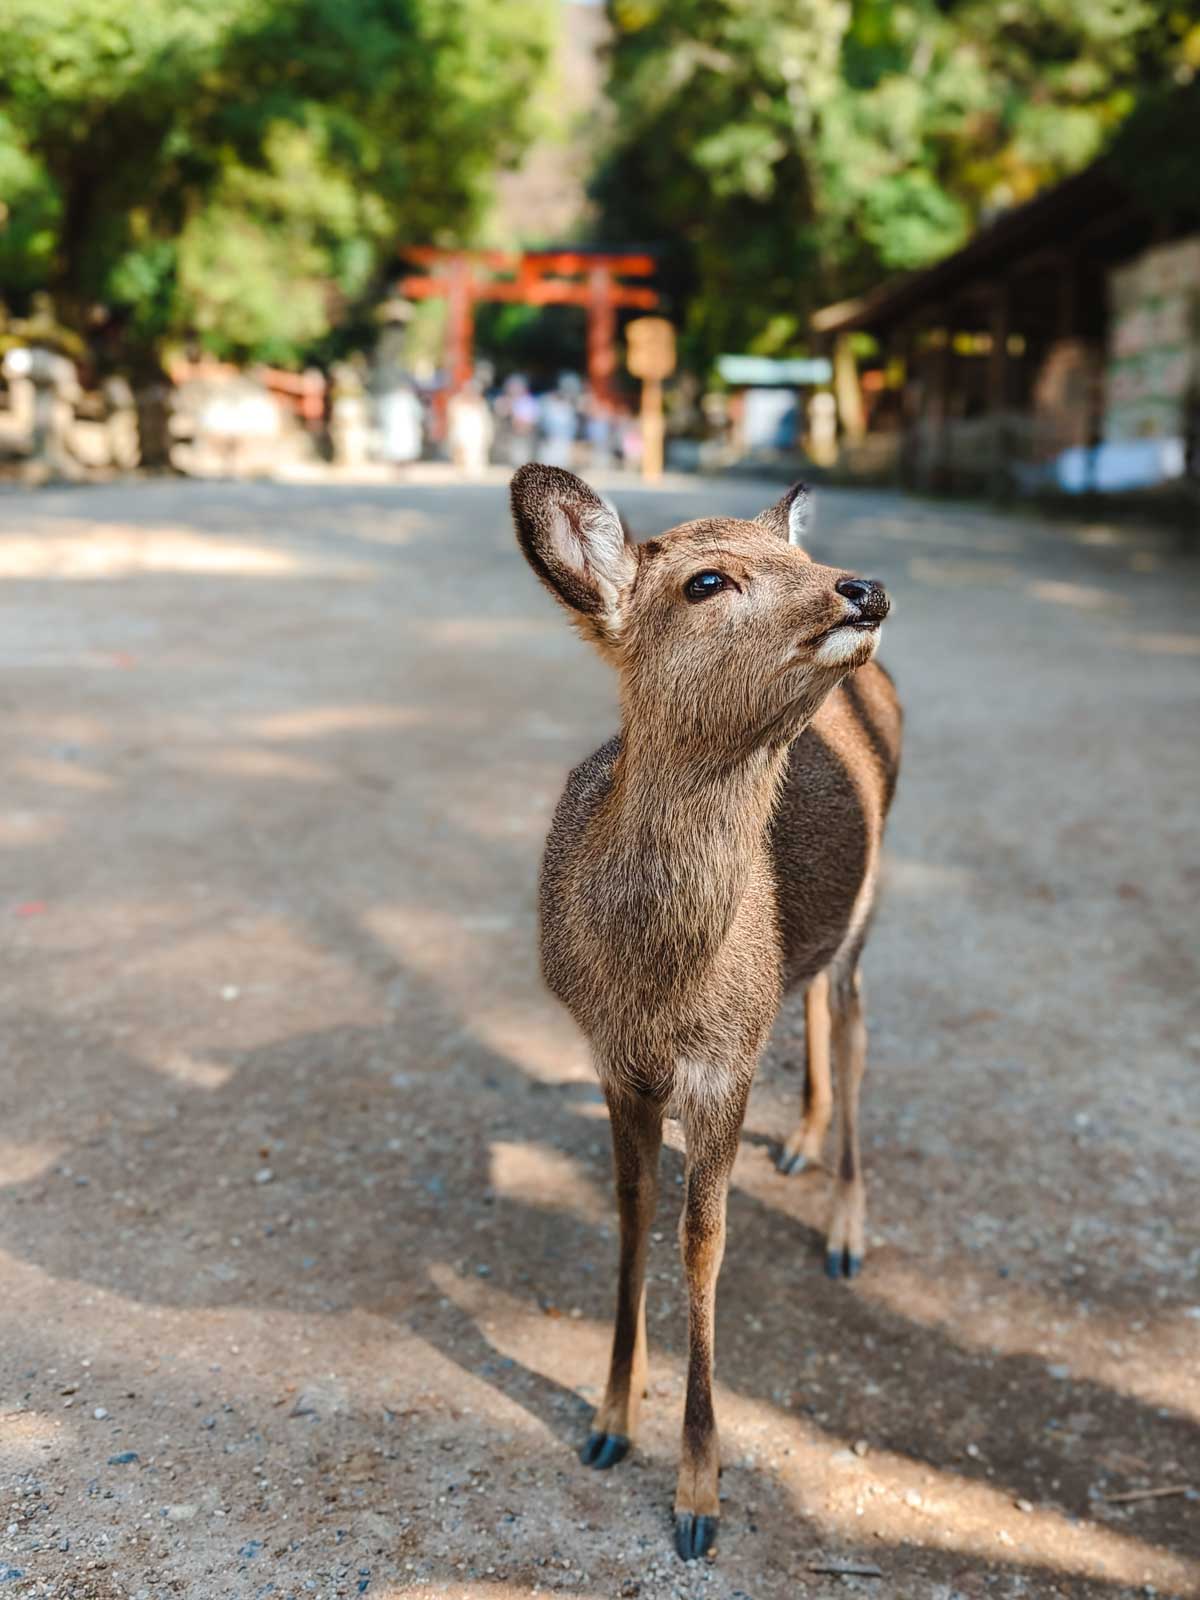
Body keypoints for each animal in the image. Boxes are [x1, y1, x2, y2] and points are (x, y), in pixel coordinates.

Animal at [508, 464, 902, 1561]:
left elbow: (703, 1239)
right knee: (813, 1000)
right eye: (706, 579)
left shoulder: (722, 1064)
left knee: (855, 1022)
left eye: (794, 559)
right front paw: (609, 1417)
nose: (859, 588)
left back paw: (847, 1229)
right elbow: (632, 1208)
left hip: (874, 903)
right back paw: (800, 1142)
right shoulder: (610, 1052)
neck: (658, 988)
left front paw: (697, 1501)